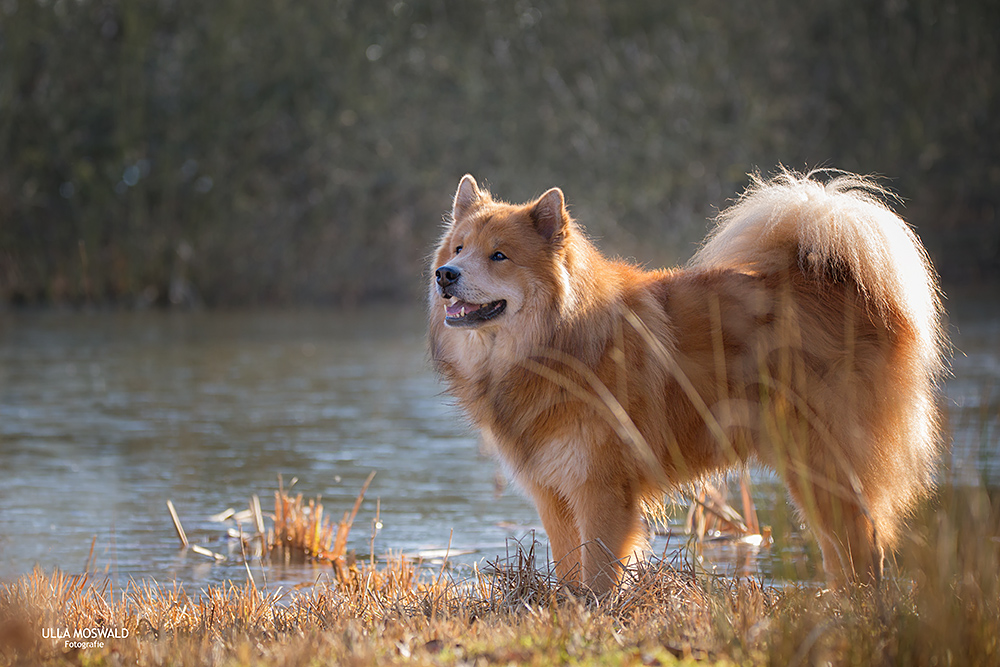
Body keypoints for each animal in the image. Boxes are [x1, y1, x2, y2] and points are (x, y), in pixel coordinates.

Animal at [428, 170, 944, 592]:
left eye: (499, 256)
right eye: (459, 248)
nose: (444, 275)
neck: (556, 341)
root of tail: (845, 285)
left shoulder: (601, 489)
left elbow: (598, 573)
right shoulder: (555, 492)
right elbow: (571, 567)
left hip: (823, 466)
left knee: (864, 553)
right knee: (843, 556)